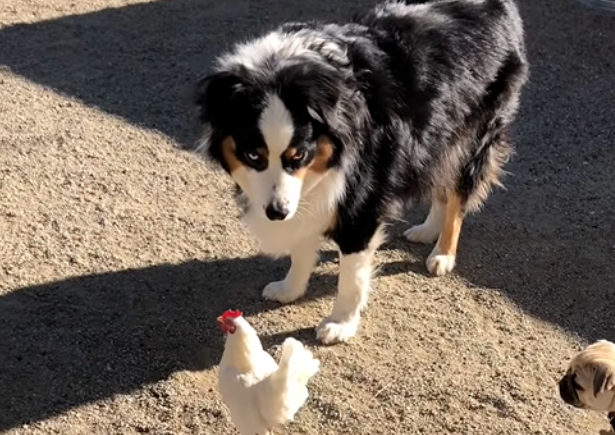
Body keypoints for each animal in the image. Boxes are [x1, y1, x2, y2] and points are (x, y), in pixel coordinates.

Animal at [191, 0, 528, 346]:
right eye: (253, 155)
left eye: (298, 155)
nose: (276, 213)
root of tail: (498, 6)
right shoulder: (303, 194)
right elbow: (301, 245)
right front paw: (290, 288)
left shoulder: (361, 203)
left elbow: (351, 276)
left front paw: (340, 323)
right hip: (438, 136)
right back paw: (427, 229)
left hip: (474, 136)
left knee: (458, 195)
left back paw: (443, 253)